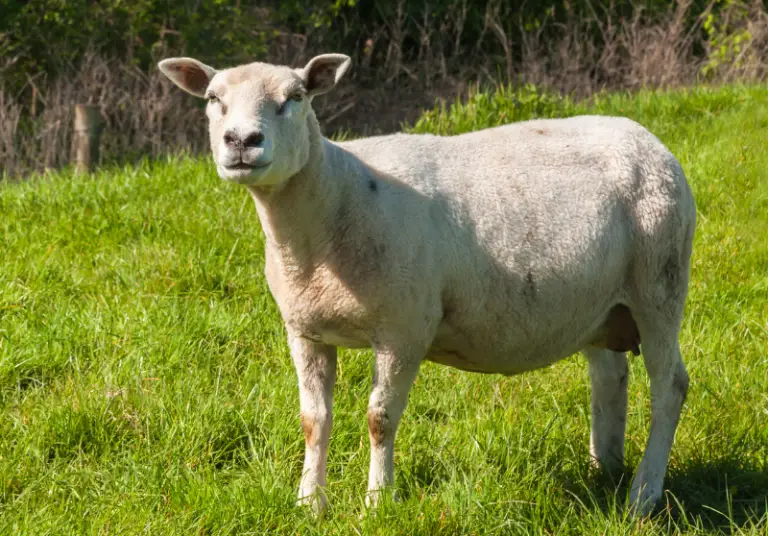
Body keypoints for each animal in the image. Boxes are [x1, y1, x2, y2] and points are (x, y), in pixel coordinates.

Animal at [159, 53, 700, 516]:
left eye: (295, 97)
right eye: (213, 98)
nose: (241, 141)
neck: (335, 201)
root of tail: (649, 139)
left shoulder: (404, 328)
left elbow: (380, 418)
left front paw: (377, 502)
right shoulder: (305, 330)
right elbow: (314, 421)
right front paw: (309, 503)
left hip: (660, 284)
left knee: (670, 387)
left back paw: (643, 494)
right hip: (601, 306)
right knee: (610, 378)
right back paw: (603, 469)